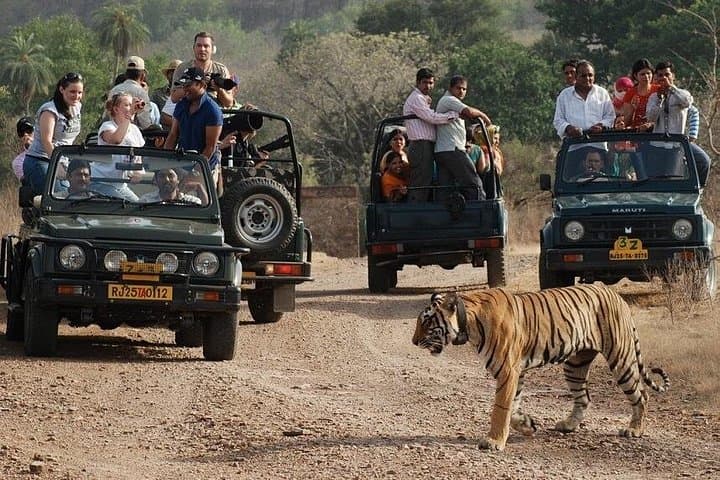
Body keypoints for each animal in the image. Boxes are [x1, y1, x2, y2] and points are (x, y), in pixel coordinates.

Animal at [412, 284, 669, 451]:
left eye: (426, 322)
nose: (413, 342)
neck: (469, 323)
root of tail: (616, 295)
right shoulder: (516, 372)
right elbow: (513, 408)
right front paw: (527, 425)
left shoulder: (508, 370)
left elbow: (500, 408)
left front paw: (494, 441)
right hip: (575, 364)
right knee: (584, 397)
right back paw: (568, 425)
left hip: (620, 357)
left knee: (641, 395)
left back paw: (634, 430)